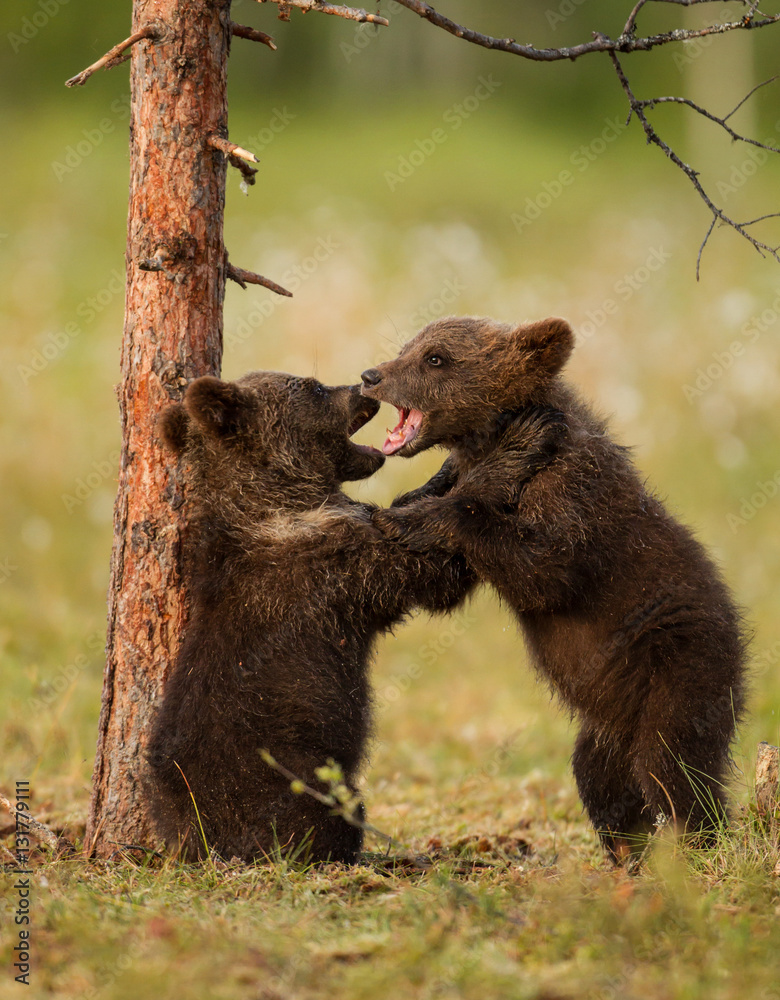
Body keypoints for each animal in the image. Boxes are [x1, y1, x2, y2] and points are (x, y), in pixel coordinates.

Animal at [146, 370, 477, 864]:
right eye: (313, 387)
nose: (362, 386)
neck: (281, 501)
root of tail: (200, 838)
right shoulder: (335, 567)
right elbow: (431, 572)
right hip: (287, 774)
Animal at [360, 315, 747, 862]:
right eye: (406, 347)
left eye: (435, 358)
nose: (371, 376)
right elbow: (444, 582)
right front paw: (416, 496)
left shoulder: (573, 494)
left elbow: (545, 569)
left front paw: (419, 510)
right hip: (611, 715)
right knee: (600, 776)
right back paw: (630, 855)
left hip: (681, 660)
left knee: (672, 764)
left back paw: (697, 850)